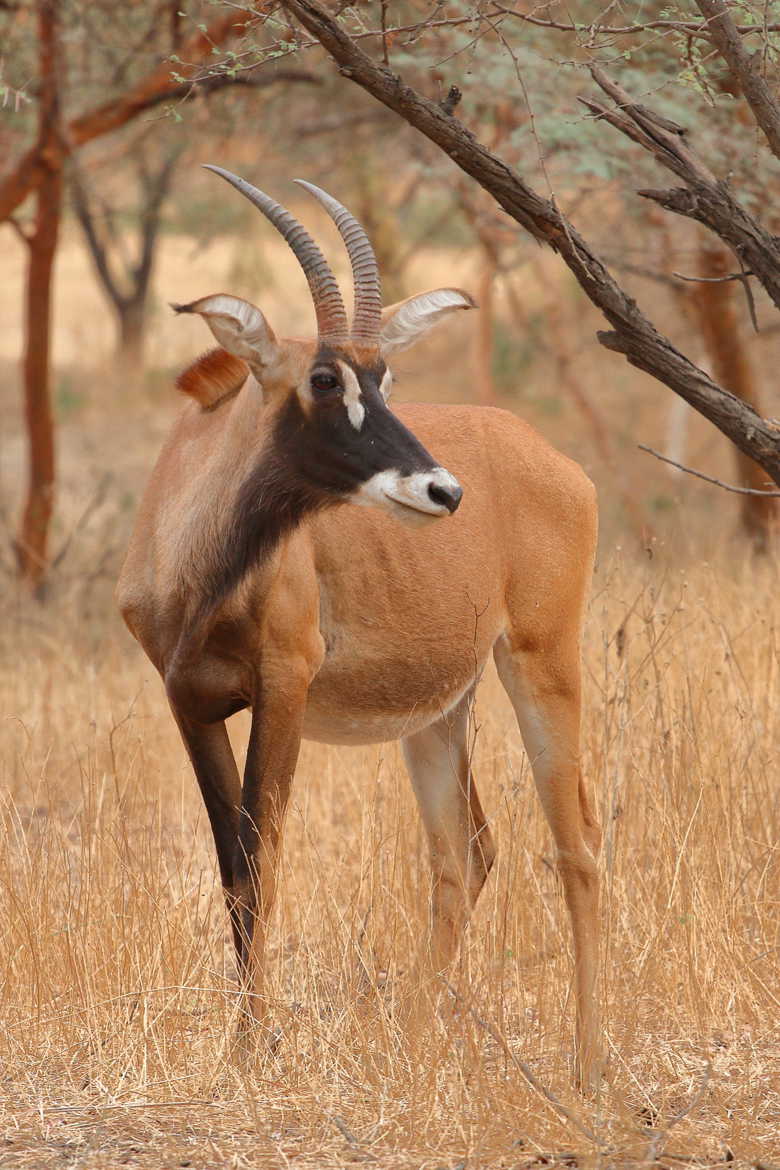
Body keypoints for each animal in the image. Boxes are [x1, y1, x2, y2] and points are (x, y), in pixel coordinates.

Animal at [117, 169, 603, 1090]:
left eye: (384, 375)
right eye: (322, 378)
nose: (442, 491)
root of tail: (556, 462)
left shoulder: (284, 686)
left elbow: (262, 857)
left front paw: (253, 1044)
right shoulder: (185, 700)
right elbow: (231, 866)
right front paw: (247, 1039)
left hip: (542, 661)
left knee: (578, 843)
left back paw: (594, 1056)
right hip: (440, 709)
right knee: (464, 851)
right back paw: (411, 1037)